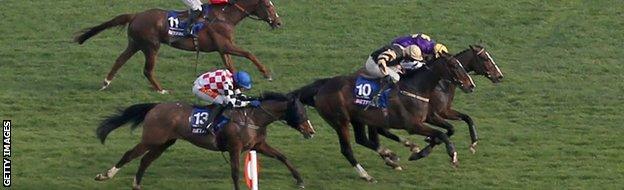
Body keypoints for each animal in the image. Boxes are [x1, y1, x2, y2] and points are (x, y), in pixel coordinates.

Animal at [74, 0, 282, 93]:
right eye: (268, 5)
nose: (279, 23)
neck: (224, 16)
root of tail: (136, 15)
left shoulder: (223, 48)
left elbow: (231, 67)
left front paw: (236, 88)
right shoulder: (227, 45)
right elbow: (249, 53)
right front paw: (267, 74)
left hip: (135, 44)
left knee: (119, 60)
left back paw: (106, 82)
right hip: (151, 46)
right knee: (147, 70)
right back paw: (161, 90)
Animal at [94, 91, 314, 189]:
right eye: (300, 112)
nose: (311, 131)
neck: (252, 118)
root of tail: (155, 106)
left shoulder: (258, 145)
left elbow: (283, 157)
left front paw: (300, 180)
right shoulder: (235, 147)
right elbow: (235, 172)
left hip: (164, 142)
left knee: (145, 160)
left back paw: (136, 184)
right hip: (152, 138)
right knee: (129, 154)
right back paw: (105, 175)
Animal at [308, 52, 472, 182]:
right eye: (454, 65)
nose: (470, 85)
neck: (415, 88)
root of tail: (322, 87)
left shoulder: (426, 119)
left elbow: (444, 132)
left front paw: (420, 151)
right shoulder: (413, 125)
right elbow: (442, 134)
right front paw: (453, 156)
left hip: (357, 119)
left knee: (362, 139)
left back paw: (390, 155)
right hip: (340, 121)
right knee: (347, 149)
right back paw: (367, 175)